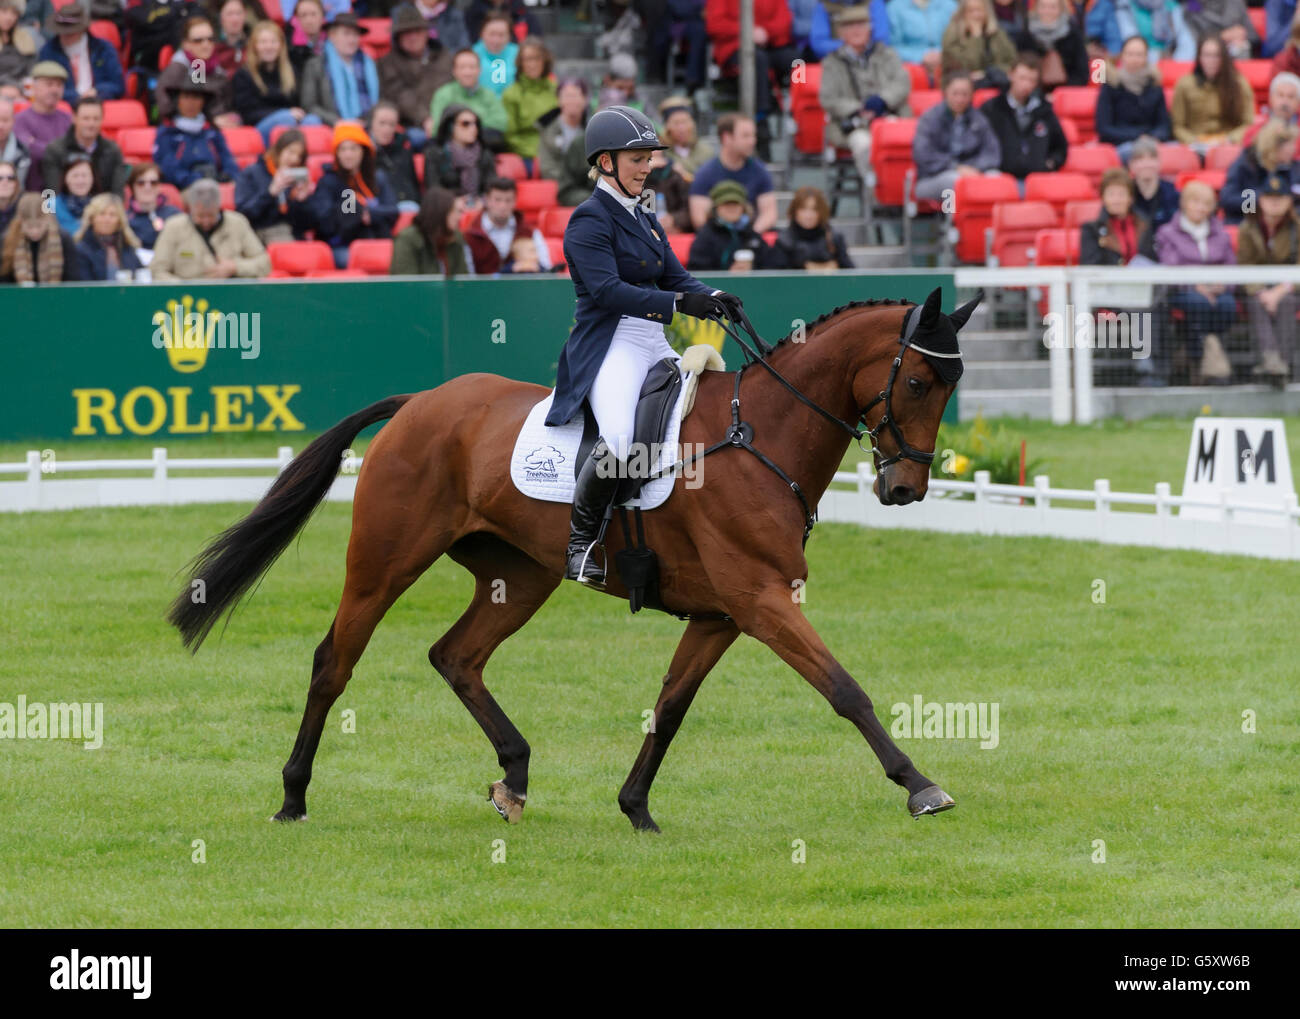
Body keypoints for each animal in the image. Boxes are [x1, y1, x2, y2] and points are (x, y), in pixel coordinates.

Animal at [170, 284, 977, 826]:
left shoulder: (720, 614)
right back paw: (293, 795)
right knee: (334, 661)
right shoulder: (761, 599)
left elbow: (670, 705)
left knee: (456, 655)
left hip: (519, 576)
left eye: (951, 387)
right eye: (914, 381)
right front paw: (920, 785)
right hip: (383, 563)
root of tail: (420, 401)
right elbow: (844, 689)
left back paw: (514, 777)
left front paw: (635, 806)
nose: (904, 488)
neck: (761, 436)